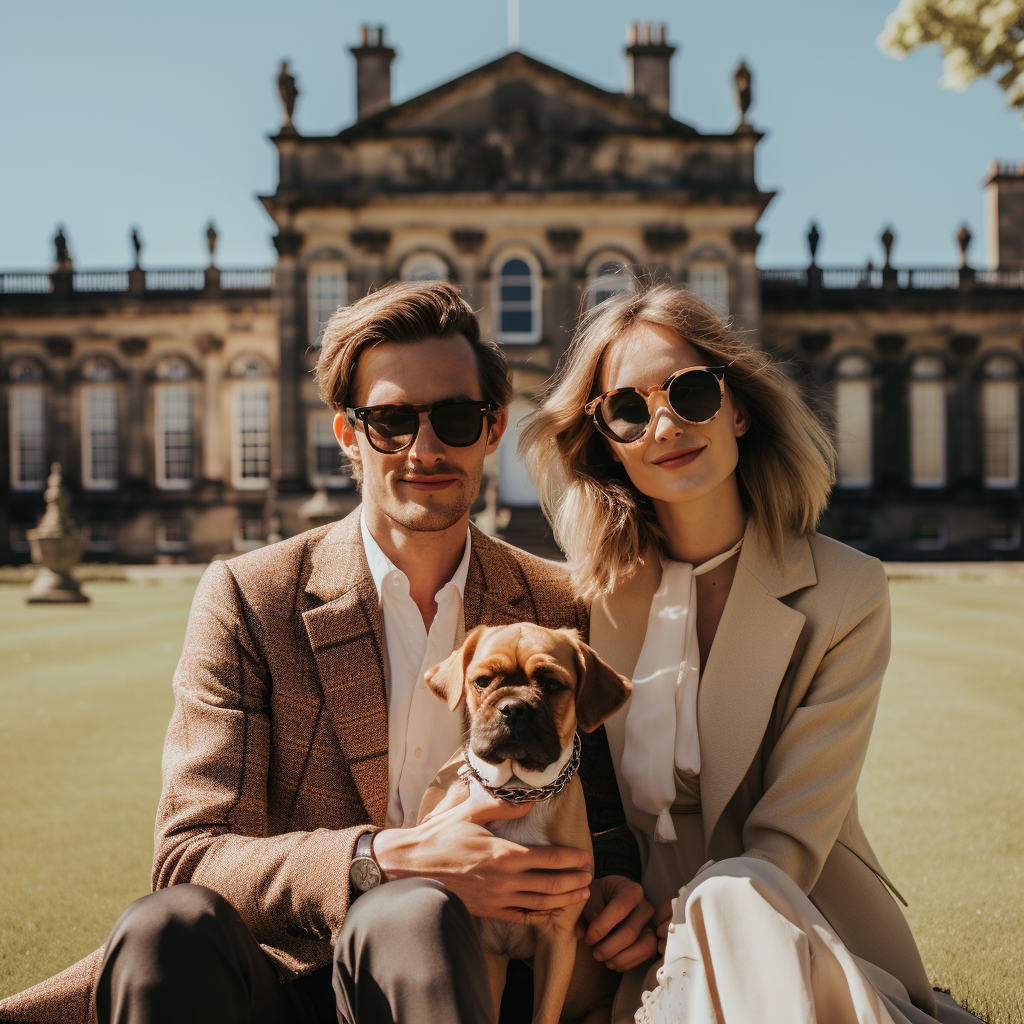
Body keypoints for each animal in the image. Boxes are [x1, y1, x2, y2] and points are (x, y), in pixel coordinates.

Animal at [417, 618, 630, 1024]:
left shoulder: (558, 939)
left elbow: (544, 1013)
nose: (513, 708)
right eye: (482, 681)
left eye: (553, 685)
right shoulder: (482, 947)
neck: (517, 791)